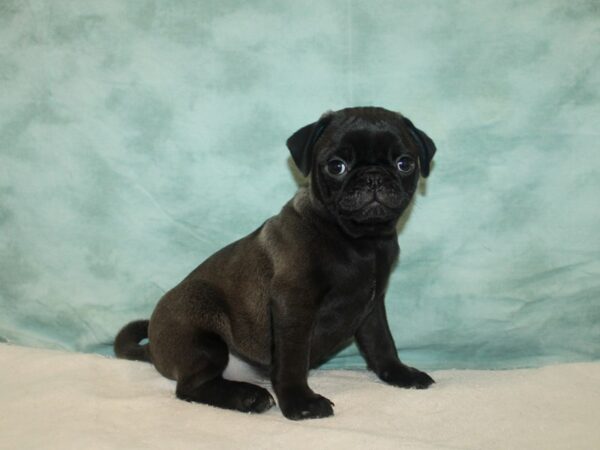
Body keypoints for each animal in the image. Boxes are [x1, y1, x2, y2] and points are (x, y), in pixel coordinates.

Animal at [115, 105, 436, 418]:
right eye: (337, 166)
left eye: (404, 164)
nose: (373, 176)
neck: (360, 240)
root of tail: (153, 349)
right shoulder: (293, 303)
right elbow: (292, 358)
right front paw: (300, 402)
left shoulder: (372, 306)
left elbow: (381, 344)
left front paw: (400, 374)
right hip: (204, 338)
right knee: (190, 387)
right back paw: (248, 397)